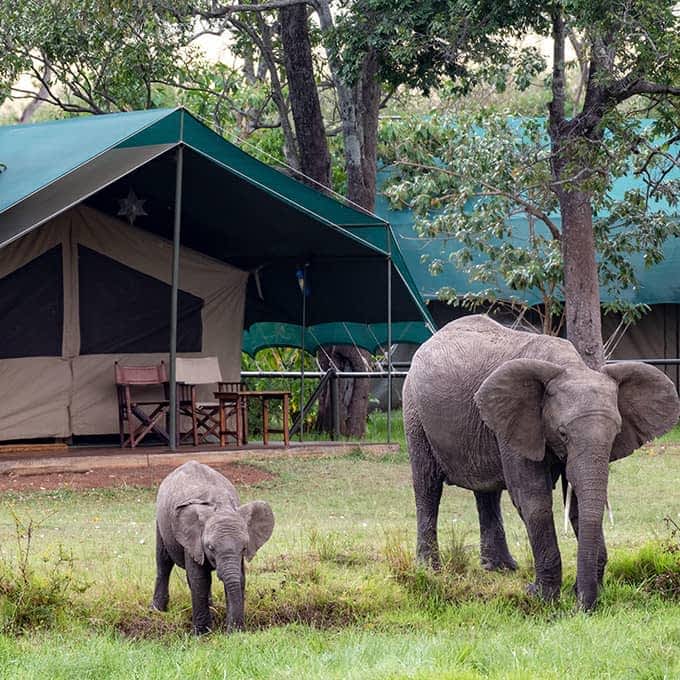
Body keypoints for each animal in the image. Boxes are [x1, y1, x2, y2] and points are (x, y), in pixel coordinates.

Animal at [151, 460, 274, 636]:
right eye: (210, 547)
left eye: (244, 548)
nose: (232, 632)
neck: (220, 504)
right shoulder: (192, 540)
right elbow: (200, 579)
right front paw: (202, 634)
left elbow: (239, 578)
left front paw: (234, 632)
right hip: (161, 525)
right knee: (163, 563)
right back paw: (157, 611)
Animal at [404, 316, 680, 608]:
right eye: (563, 433)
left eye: (616, 433)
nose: (582, 607)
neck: (569, 366)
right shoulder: (519, 421)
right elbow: (533, 498)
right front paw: (542, 597)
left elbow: (577, 502)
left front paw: (584, 591)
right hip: (414, 411)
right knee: (428, 486)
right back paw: (430, 570)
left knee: (487, 492)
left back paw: (501, 569)